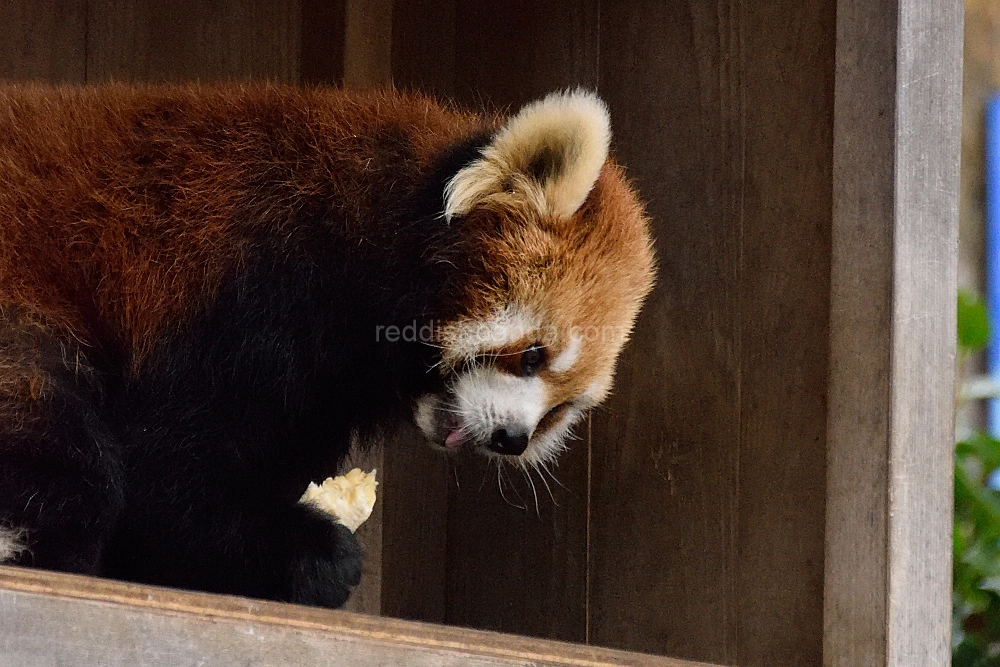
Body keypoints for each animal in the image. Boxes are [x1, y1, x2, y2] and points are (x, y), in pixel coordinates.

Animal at [0, 85, 656, 612]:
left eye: (562, 411)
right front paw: (313, 552)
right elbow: (166, 469)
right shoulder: (247, 292)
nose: (511, 440)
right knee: (74, 460)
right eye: (532, 355)